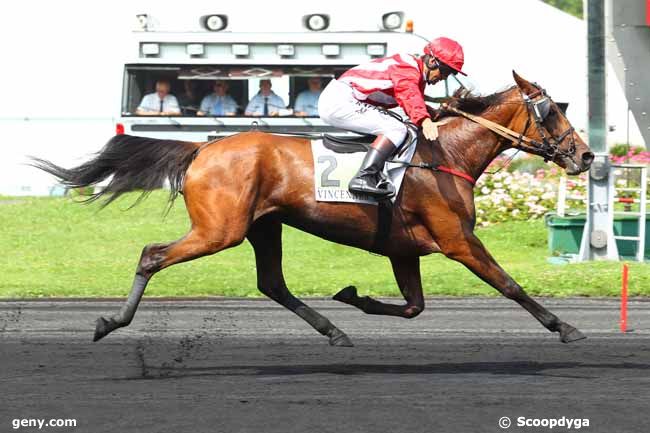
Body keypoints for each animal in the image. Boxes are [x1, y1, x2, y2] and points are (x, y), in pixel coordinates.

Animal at [34, 72, 592, 346]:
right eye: (552, 112)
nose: (586, 156)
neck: (444, 154)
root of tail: (201, 149)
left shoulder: (404, 249)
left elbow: (414, 305)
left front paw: (353, 296)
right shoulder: (458, 241)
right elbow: (510, 285)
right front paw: (565, 327)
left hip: (264, 227)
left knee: (272, 284)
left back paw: (335, 330)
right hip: (221, 230)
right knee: (152, 254)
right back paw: (110, 323)